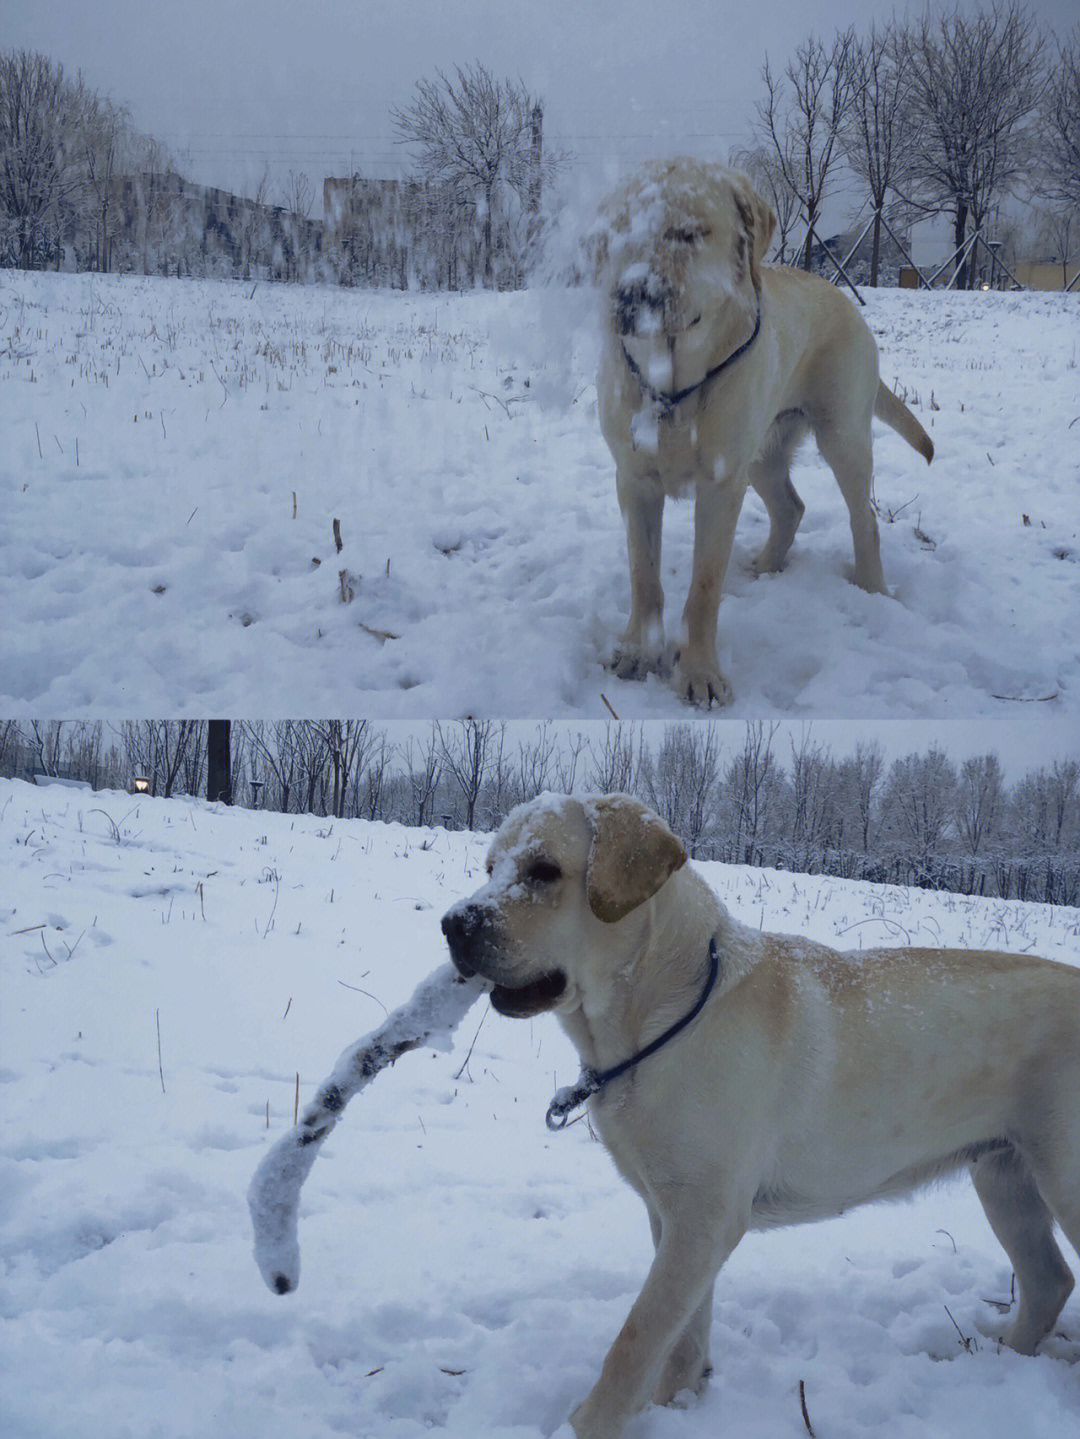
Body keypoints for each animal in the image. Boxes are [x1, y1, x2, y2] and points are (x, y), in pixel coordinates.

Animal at [440, 794, 1080, 1433]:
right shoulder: (676, 1213)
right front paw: (678, 1406)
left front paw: (590, 1424)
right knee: (1049, 1281)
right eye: (490, 868)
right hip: (1004, 1176)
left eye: (544, 870)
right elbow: (683, 1333)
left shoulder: (706, 1215)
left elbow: (637, 1338)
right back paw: (999, 1356)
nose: (453, 925)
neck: (654, 1018)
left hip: (1061, 1180)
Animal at [601, 161, 937, 702]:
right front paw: (637, 651)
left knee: (863, 518)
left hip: (840, 437)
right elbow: (643, 575)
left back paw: (872, 587)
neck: (674, 382)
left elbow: (704, 585)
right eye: (619, 235)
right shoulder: (633, 479)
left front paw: (700, 673)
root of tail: (846, 300)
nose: (629, 297)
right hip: (761, 453)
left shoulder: (721, 483)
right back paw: (766, 566)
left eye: (689, 233)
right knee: (791, 507)